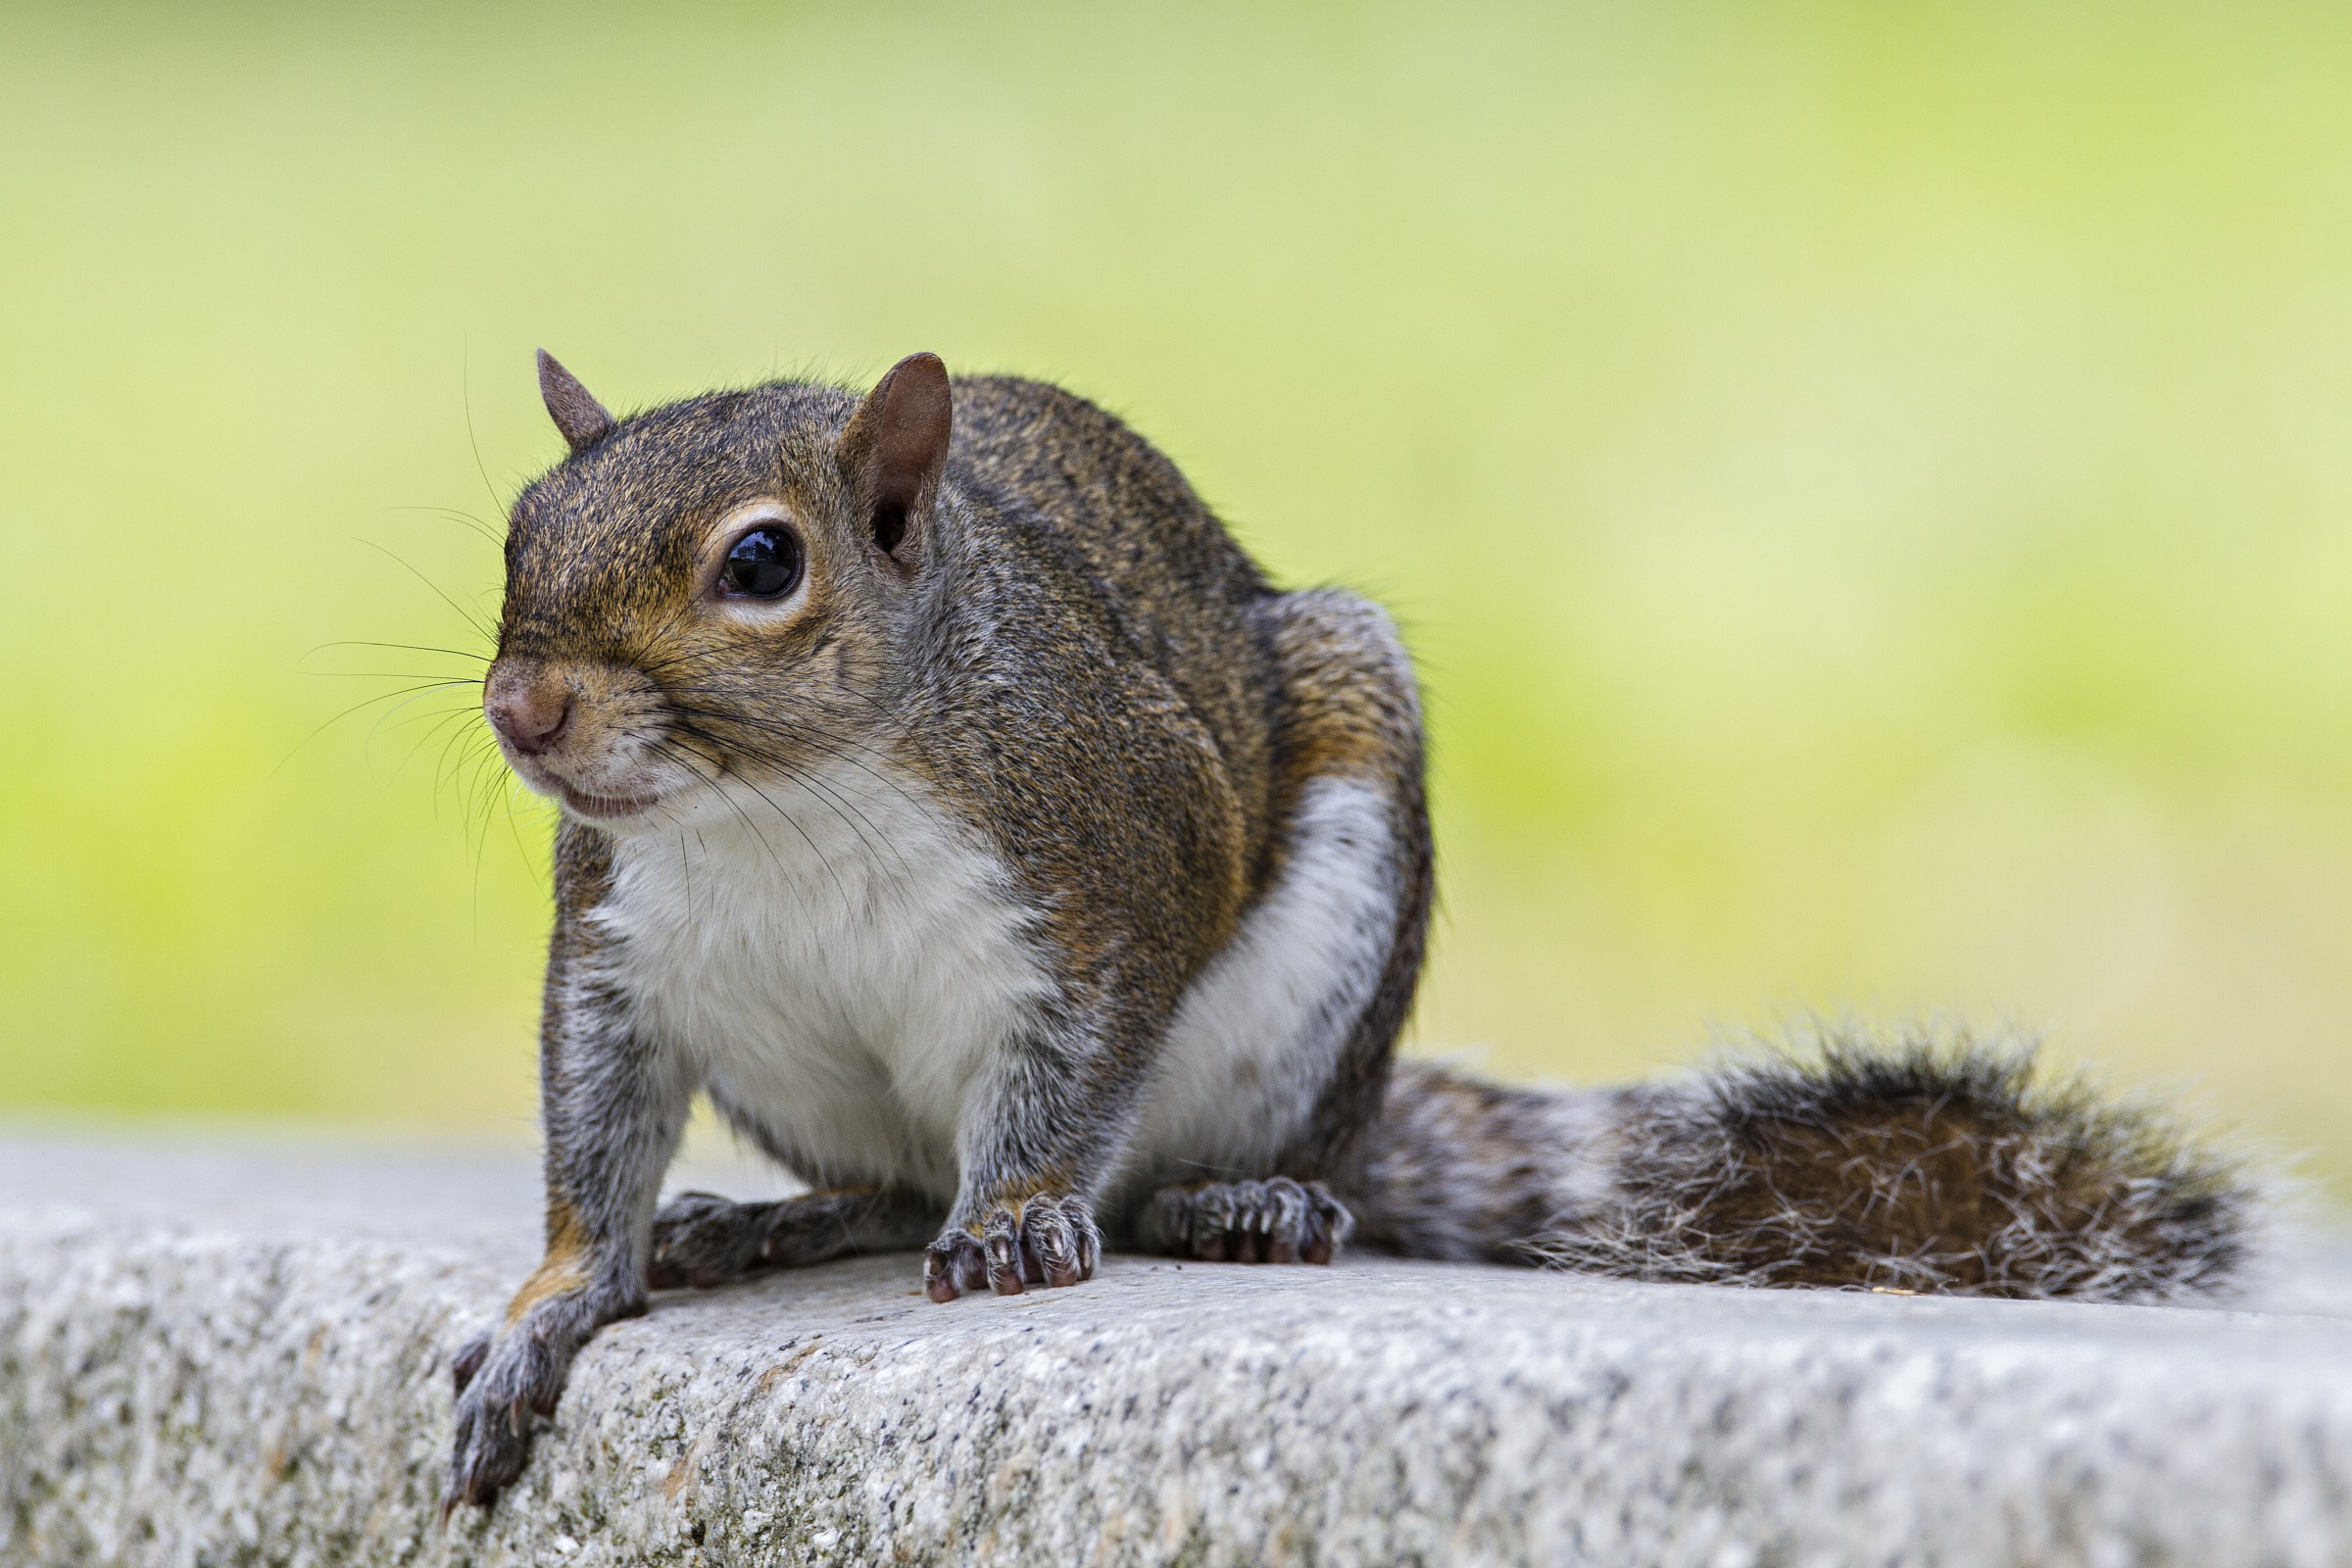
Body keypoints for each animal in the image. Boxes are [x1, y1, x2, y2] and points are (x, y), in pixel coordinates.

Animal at [446, 349, 2255, 1510]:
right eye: (522, 523)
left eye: (764, 562)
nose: (523, 710)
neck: (777, 800)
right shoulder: (619, 949)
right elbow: (591, 1136)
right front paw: (551, 1309)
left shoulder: (1117, 867)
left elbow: (1077, 1071)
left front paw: (1021, 1210)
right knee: (889, 1188)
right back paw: (784, 1222)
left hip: (1321, 954)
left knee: (1183, 1169)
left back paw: (1240, 1202)